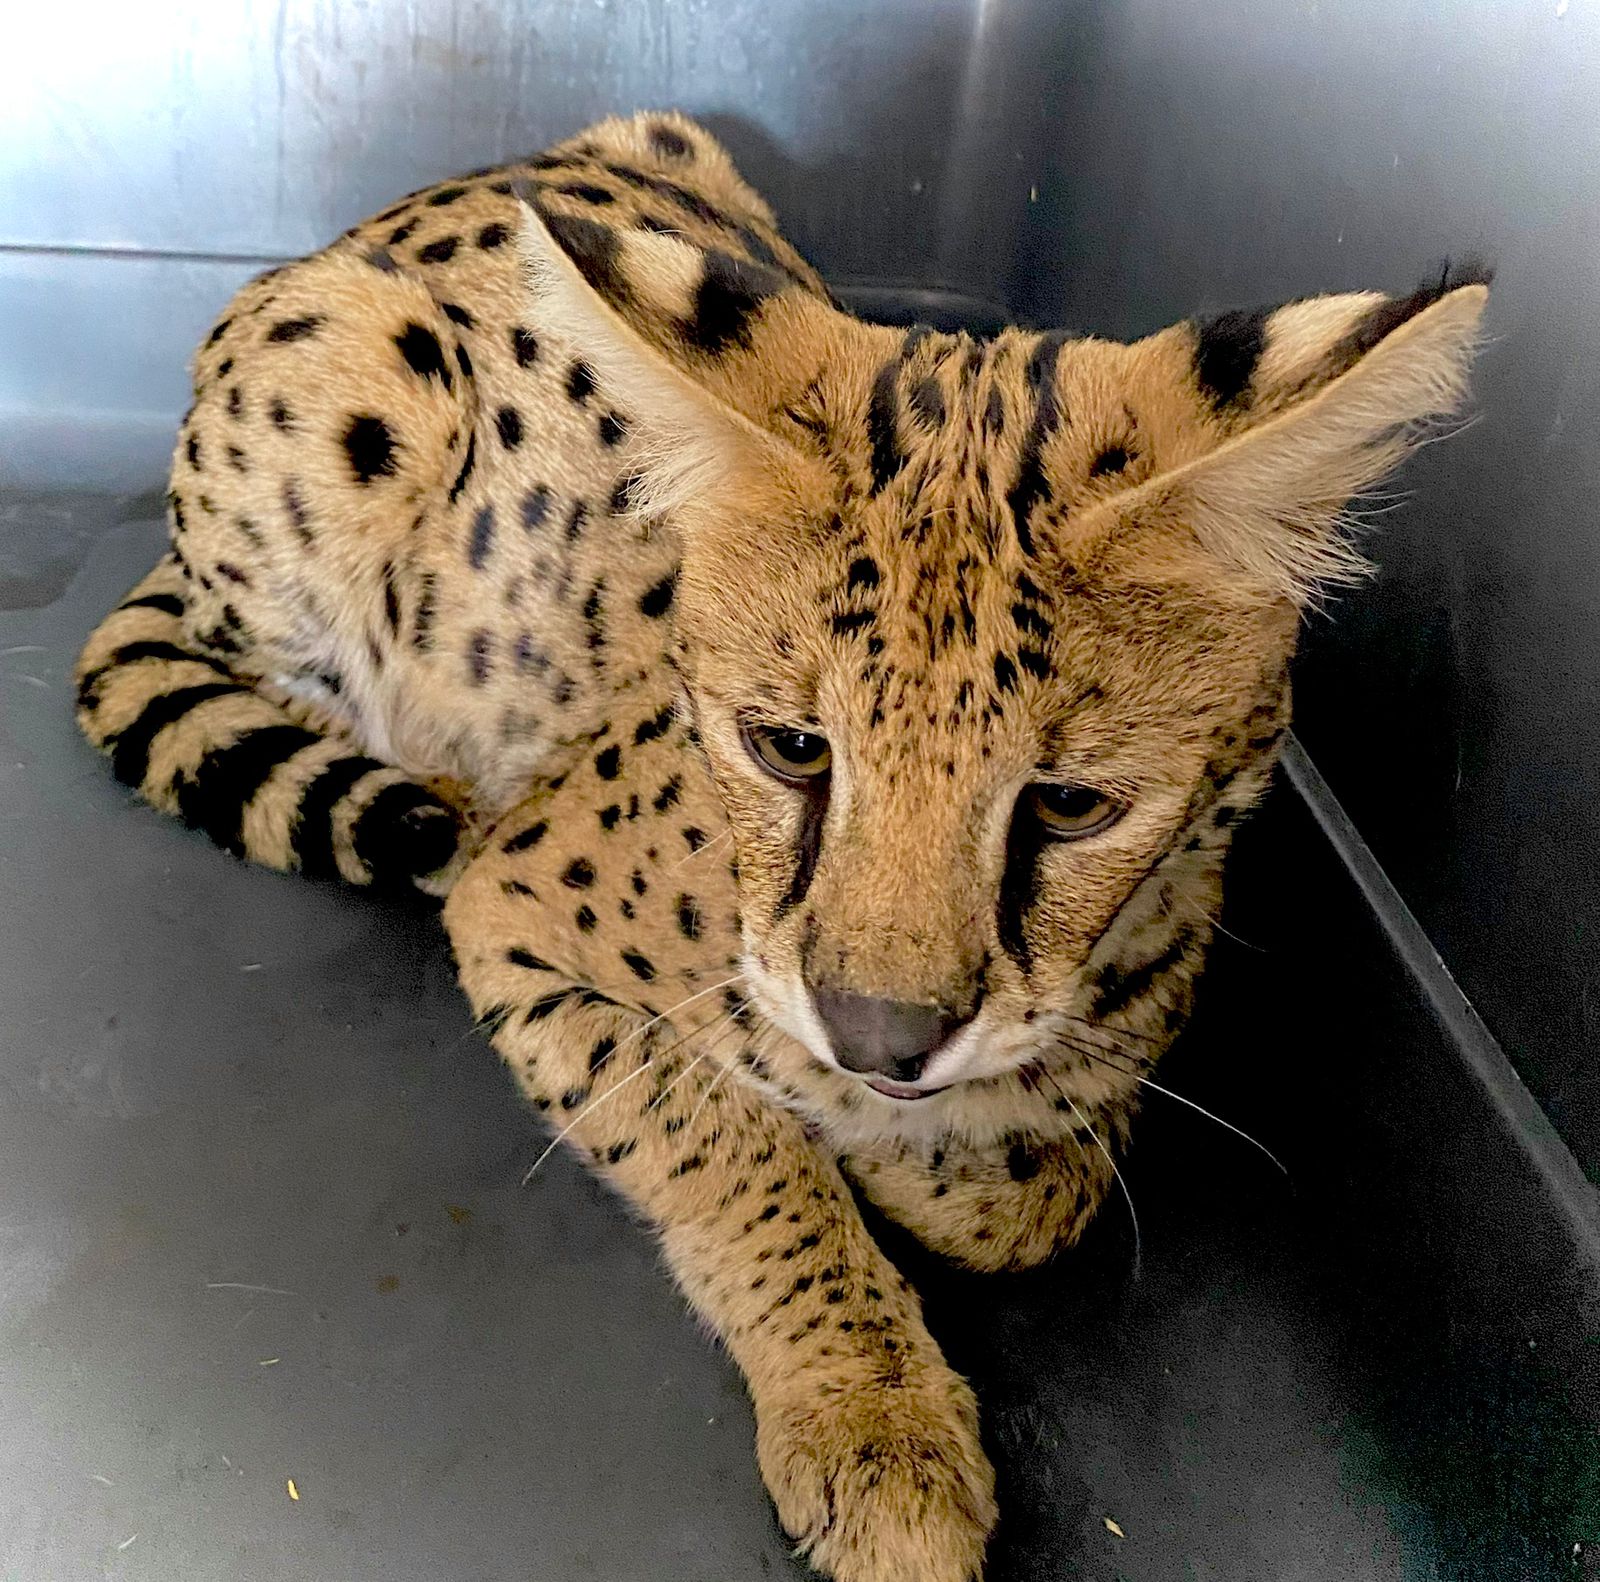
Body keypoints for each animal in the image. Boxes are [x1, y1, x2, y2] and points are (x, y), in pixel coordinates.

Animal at [72, 109, 1487, 1582]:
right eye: (791, 748)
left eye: (1069, 805)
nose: (878, 1036)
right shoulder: (513, 911)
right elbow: (733, 1138)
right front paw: (874, 1412)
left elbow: (1044, 1190)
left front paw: (930, 1158)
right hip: (348, 394)